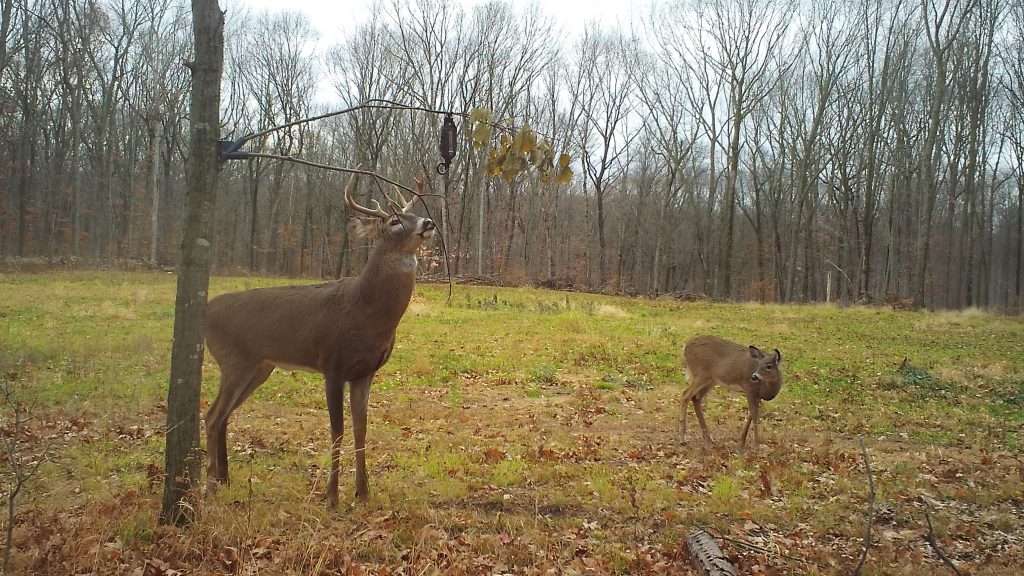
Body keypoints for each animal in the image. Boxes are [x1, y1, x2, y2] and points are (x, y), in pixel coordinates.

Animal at [203, 174, 436, 502]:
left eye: (413, 214)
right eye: (393, 221)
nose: (428, 222)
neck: (366, 311)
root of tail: (206, 312)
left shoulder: (365, 372)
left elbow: (361, 428)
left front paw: (363, 493)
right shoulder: (332, 364)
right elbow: (337, 430)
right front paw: (332, 497)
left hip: (260, 367)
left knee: (223, 415)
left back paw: (224, 479)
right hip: (233, 360)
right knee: (212, 416)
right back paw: (211, 483)